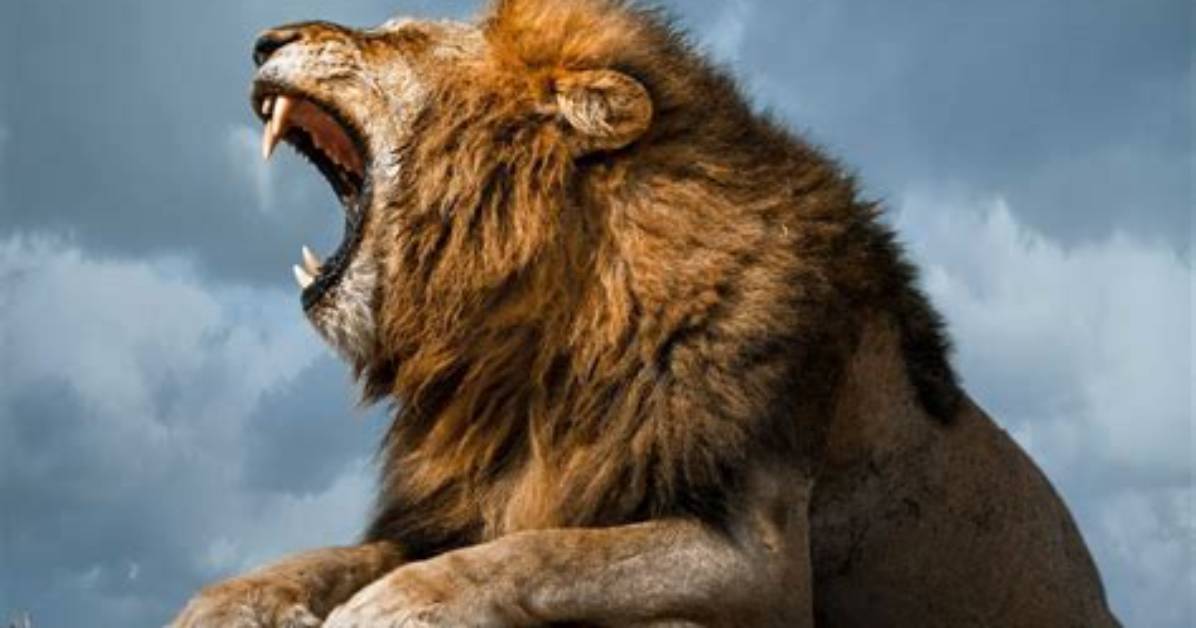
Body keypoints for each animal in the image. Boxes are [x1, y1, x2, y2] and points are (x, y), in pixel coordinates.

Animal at [172, 1, 1121, 626]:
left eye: (399, 32)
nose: (263, 40)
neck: (535, 340)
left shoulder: (760, 558)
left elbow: (551, 552)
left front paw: (397, 605)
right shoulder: (478, 496)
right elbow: (337, 556)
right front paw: (229, 601)